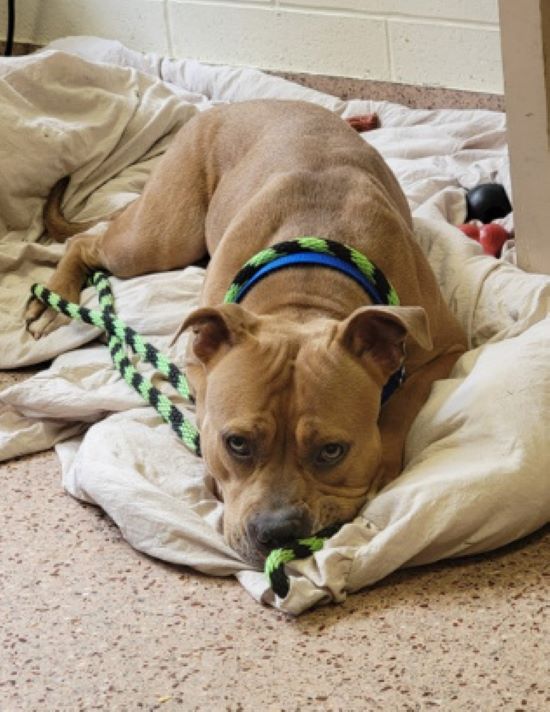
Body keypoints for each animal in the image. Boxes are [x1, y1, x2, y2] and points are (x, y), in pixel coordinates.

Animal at [27, 100, 470, 568]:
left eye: (332, 451)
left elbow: (403, 401)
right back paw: (52, 298)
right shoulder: (197, 360)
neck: (307, 287)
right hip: (157, 240)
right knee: (84, 243)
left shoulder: (446, 346)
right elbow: (203, 402)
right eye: (236, 443)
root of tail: (226, 107)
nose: (277, 532)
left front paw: (383, 461)